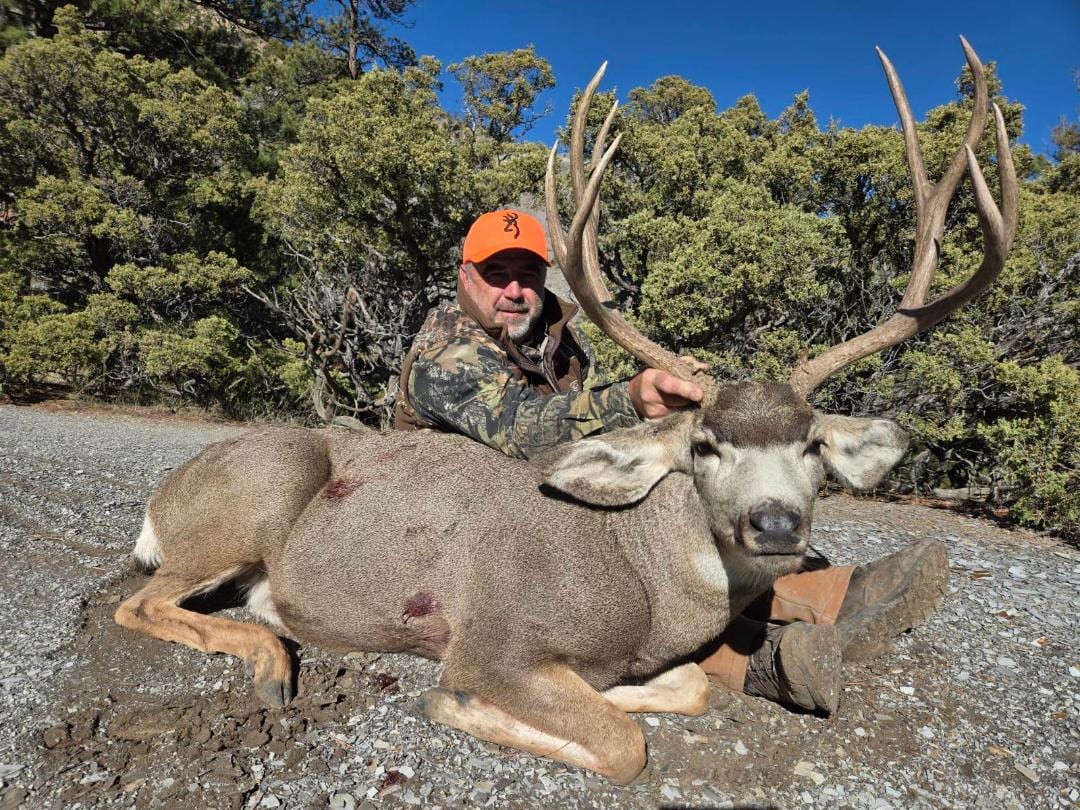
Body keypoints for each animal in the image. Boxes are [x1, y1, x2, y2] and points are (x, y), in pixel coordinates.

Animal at [114, 39, 1016, 784]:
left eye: (813, 448)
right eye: (706, 445)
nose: (774, 525)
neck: (642, 578)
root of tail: (162, 501)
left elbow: (687, 688)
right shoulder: (498, 640)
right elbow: (620, 745)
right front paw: (459, 704)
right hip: (259, 490)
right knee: (140, 601)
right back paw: (271, 665)